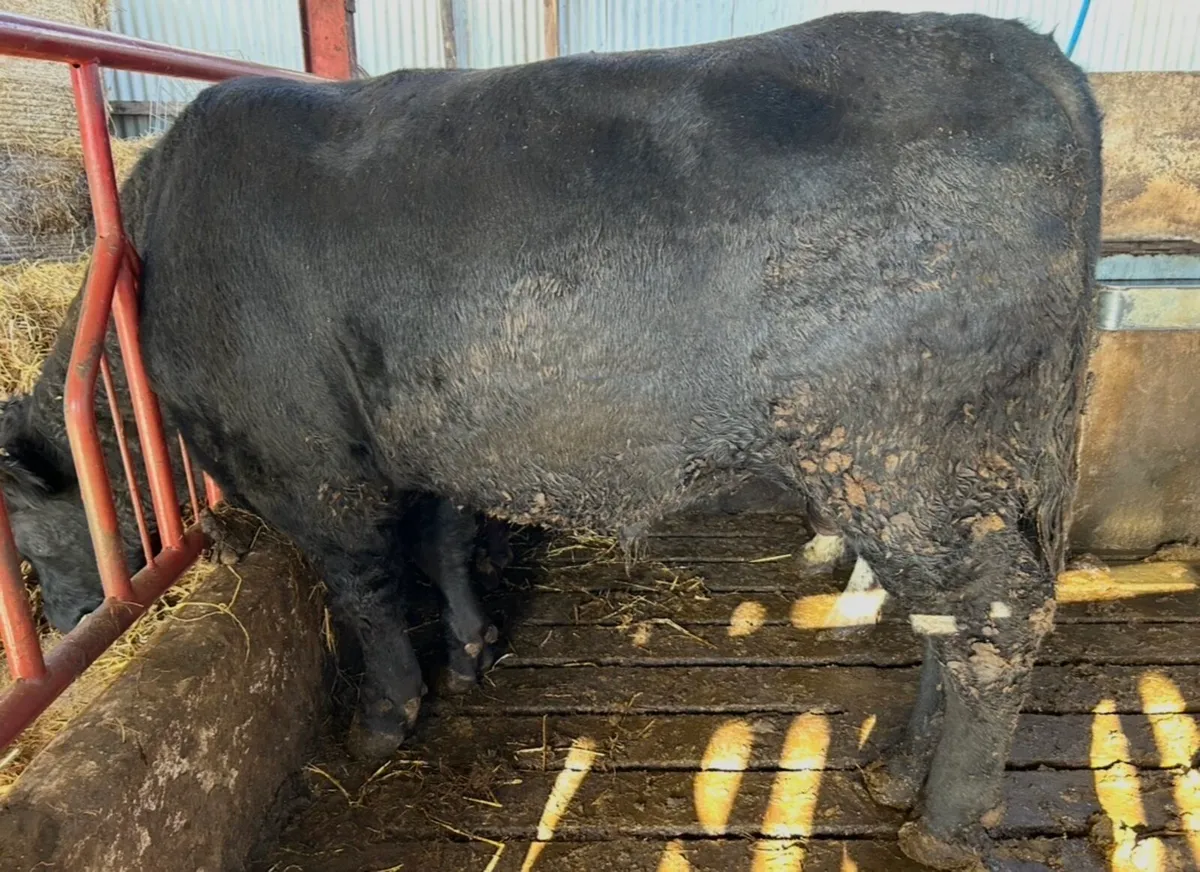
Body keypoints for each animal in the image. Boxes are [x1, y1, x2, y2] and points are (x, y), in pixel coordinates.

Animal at [0, 11, 1100, 868]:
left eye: (22, 535)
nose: (71, 617)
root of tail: (1029, 54)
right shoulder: (431, 444)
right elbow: (443, 543)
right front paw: (474, 649)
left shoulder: (311, 469)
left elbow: (364, 590)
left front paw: (383, 720)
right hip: (958, 464)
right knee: (953, 620)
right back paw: (894, 772)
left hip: (904, 452)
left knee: (999, 612)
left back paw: (944, 824)